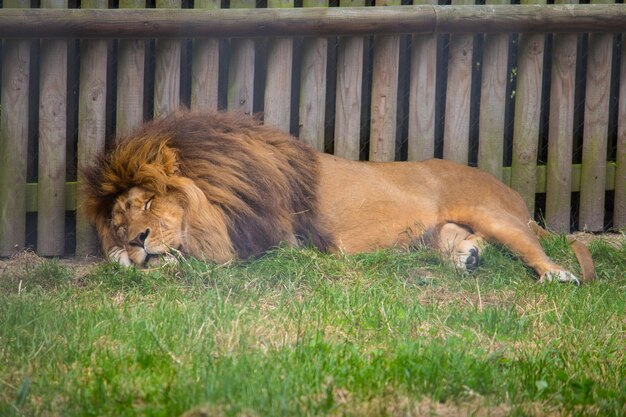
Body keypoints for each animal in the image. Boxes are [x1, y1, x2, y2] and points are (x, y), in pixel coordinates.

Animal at [80, 111, 592, 282]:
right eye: (120, 222)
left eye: (149, 203)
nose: (138, 238)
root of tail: (509, 188)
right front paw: (124, 258)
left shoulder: (263, 244)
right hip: (433, 231)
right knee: (455, 238)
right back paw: (466, 257)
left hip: (492, 212)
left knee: (532, 247)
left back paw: (558, 275)